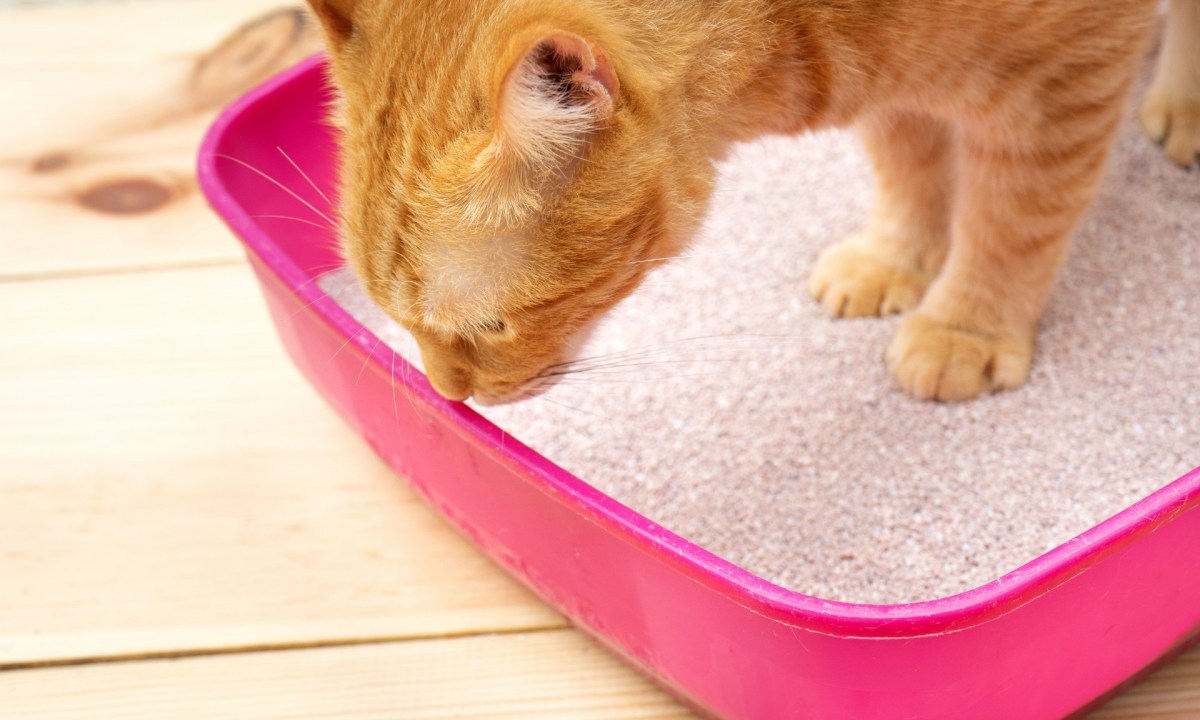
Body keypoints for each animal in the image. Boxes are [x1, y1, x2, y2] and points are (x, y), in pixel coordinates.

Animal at [307, 0, 1190, 405]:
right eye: (396, 317)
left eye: (491, 325)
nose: (448, 396)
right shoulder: (895, 78)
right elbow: (910, 166)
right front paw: (896, 257)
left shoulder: (1065, 79)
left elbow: (1013, 219)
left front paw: (965, 323)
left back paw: (1186, 104)